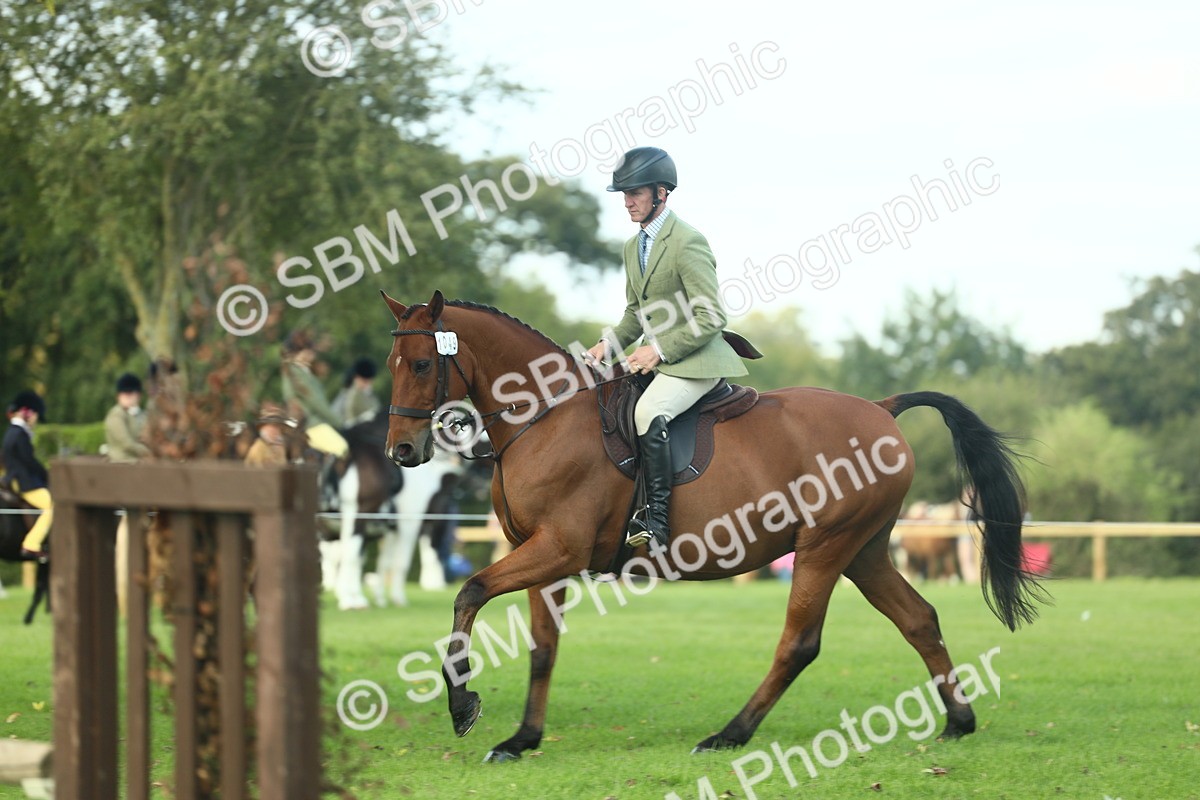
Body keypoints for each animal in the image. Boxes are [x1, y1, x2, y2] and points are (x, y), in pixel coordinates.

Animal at [379, 290, 1045, 761]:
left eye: (422, 363)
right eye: (391, 365)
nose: (402, 452)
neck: (545, 416)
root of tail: (882, 411)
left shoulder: (557, 550)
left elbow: (469, 594)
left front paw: (462, 705)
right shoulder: (543, 558)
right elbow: (544, 648)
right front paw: (523, 740)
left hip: (825, 548)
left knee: (799, 643)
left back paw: (729, 734)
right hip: (865, 551)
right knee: (918, 619)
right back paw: (958, 721)